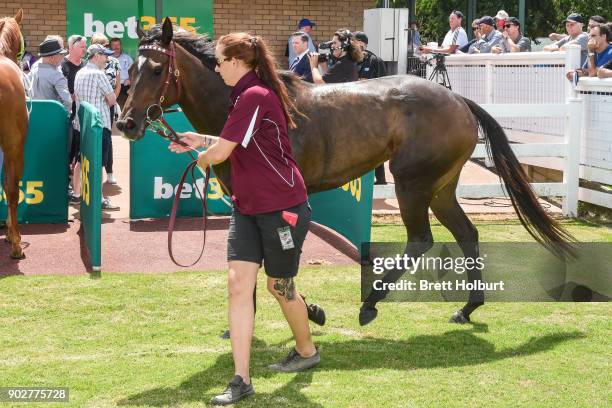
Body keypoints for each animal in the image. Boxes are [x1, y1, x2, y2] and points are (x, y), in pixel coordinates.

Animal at [117, 19, 576, 326]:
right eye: (130, 70)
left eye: (156, 69)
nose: (127, 123)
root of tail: (458, 99)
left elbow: (281, 265)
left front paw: (309, 311)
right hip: (442, 188)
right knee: (466, 234)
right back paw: (467, 307)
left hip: (413, 184)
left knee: (421, 239)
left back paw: (371, 302)